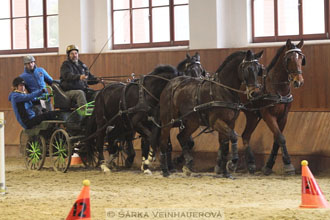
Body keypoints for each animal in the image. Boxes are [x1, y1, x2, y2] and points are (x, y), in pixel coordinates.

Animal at [159, 49, 264, 177]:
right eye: (248, 69)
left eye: (258, 69)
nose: (255, 93)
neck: (223, 90)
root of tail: (170, 84)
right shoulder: (216, 122)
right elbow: (233, 137)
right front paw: (232, 164)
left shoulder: (230, 123)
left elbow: (225, 145)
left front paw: (225, 172)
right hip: (167, 121)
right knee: (163, 142)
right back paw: (165, 170)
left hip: (192, 122)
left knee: (181, 137)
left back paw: (188, 162)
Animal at [241, 38, 306, 174]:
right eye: (289, 59)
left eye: (301, 58)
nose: (299, 81)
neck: (277, 88)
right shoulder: (268, 115)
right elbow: (280, 137)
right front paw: (288, 165)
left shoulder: (283, 117)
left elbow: (277, 139)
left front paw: (269, 165)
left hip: (253, 115)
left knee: (246, 135)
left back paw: (249, 164)